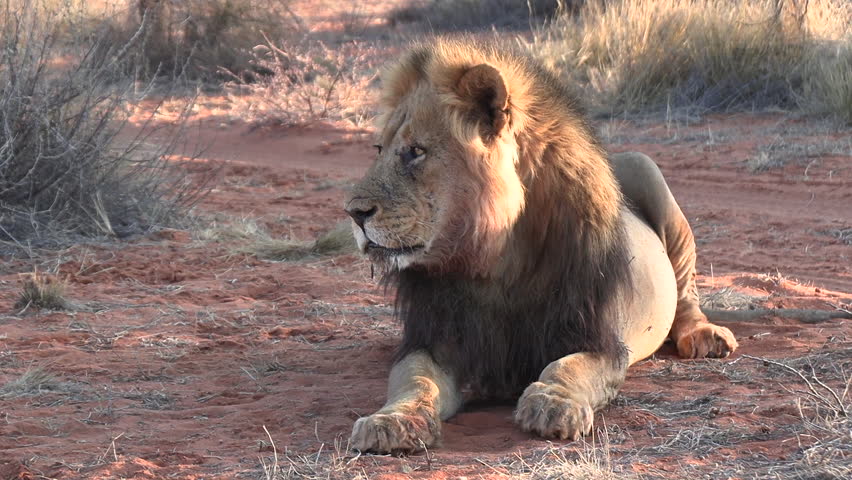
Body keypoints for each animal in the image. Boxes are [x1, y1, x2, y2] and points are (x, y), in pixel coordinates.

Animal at [342, 38, 736, 454]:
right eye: (379, 149)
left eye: (416, 151)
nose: (353, 212)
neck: (494, 263)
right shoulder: (435, 341)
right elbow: (415, 381)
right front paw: (390, 422)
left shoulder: (602, 341)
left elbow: (566, 366)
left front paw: (552, 405)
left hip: (649, 172)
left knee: (687, 294)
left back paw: (705, 337)